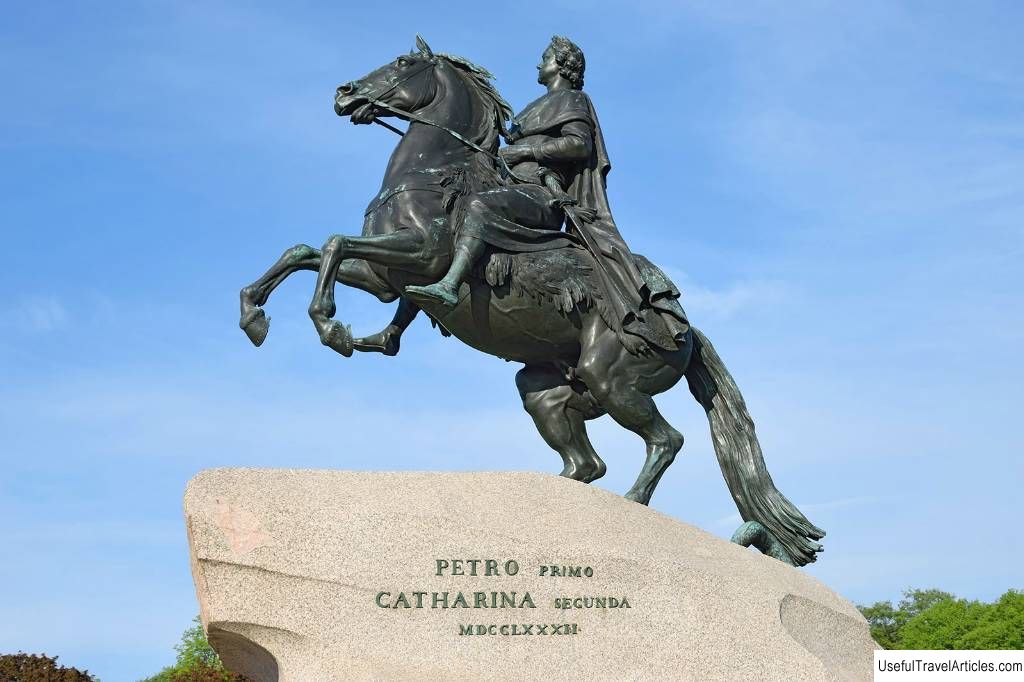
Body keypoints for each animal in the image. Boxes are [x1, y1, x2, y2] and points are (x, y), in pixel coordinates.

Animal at [237, 39, 823, 565]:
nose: (344, 94)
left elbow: (335, 245)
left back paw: (632, 502)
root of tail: (686, 329)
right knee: (586, 464)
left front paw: (329, 326)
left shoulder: (420, 255)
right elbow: (306, 251)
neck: (434, 173)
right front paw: (255, 315)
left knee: (666, 440)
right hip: (548, 390)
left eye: (402, 62)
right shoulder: (385, 277)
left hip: (612, 380)